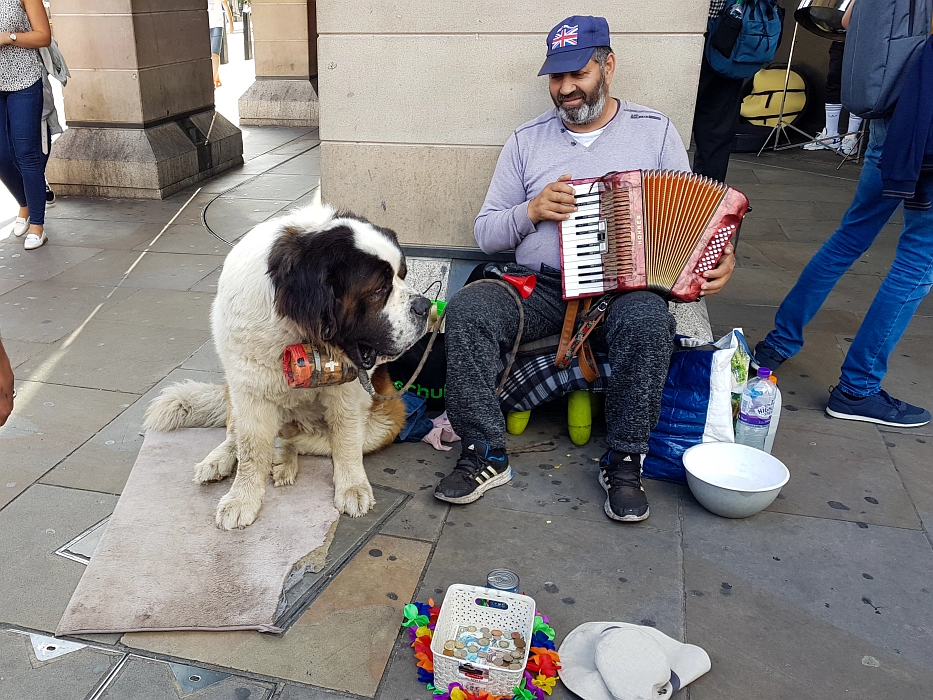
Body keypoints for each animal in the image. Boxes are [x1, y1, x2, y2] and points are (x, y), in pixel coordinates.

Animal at [143, 202, 430, 532]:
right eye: (379, 289)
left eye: (402, 275)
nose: (425, 306)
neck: (296, 332)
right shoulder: (250, 391)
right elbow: (251, 449)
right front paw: (242, 499)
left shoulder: (348, 394)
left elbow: (345, 441)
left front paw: (353, 488)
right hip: (236, 392)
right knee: (236, 435)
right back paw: (218, 461)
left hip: (386, 420)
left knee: (302, 440)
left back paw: (283, 456)